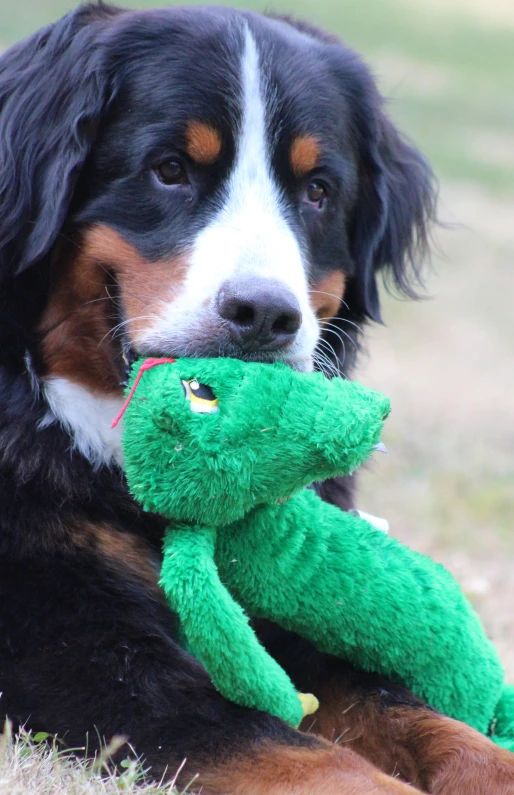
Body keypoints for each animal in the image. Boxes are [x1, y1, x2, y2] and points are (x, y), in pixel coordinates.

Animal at [1, 3, 512, 792]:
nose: (265, 314)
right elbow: (287, 749)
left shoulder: (300, 606)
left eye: (317, 190)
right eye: (170, 170)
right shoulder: (67, 635)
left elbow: (420, 716)